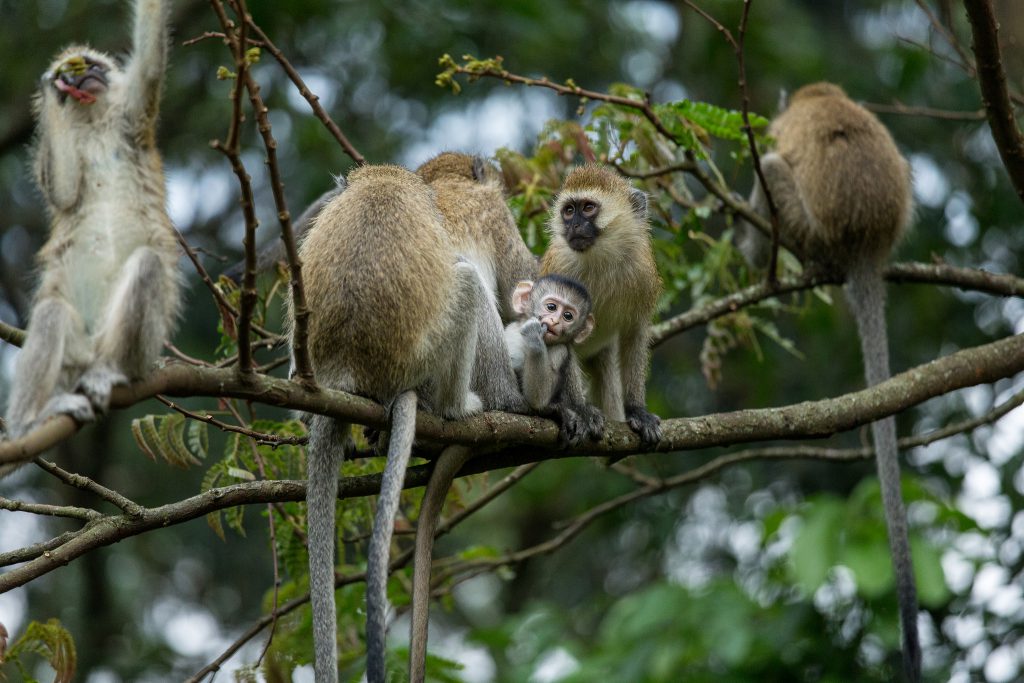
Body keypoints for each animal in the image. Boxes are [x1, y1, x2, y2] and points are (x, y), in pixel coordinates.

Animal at [2, 0, 179, 470]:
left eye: (96, 67)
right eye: (78, 75)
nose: (88, 78)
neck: (96, 122)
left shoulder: (132, 116)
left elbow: (150, 64)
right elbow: (64, 191)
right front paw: (52, 88)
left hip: (137, 347)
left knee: (147, 265)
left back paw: (110, 372)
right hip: (73, 354)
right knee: (51, 313)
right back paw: (27, 424)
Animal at [406, 274, 599, 682]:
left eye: (569, 315)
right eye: (551, 306)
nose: (553, 322)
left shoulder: (560, 352)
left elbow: (539, 393)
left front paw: (540, 361)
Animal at [540, 164, 663, 445]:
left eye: (588, 208)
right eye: (569, 211)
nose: (574, 225)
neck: (601, 258)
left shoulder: (643, 274)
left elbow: (635, 333)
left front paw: (637, 409)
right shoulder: (560, 268)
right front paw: (581, 409)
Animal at [737, 82, 919, 682]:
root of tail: (867, 243)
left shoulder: (773, 132)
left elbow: (770, 153)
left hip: (805, 224)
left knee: (771, 169)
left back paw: (756, 253)